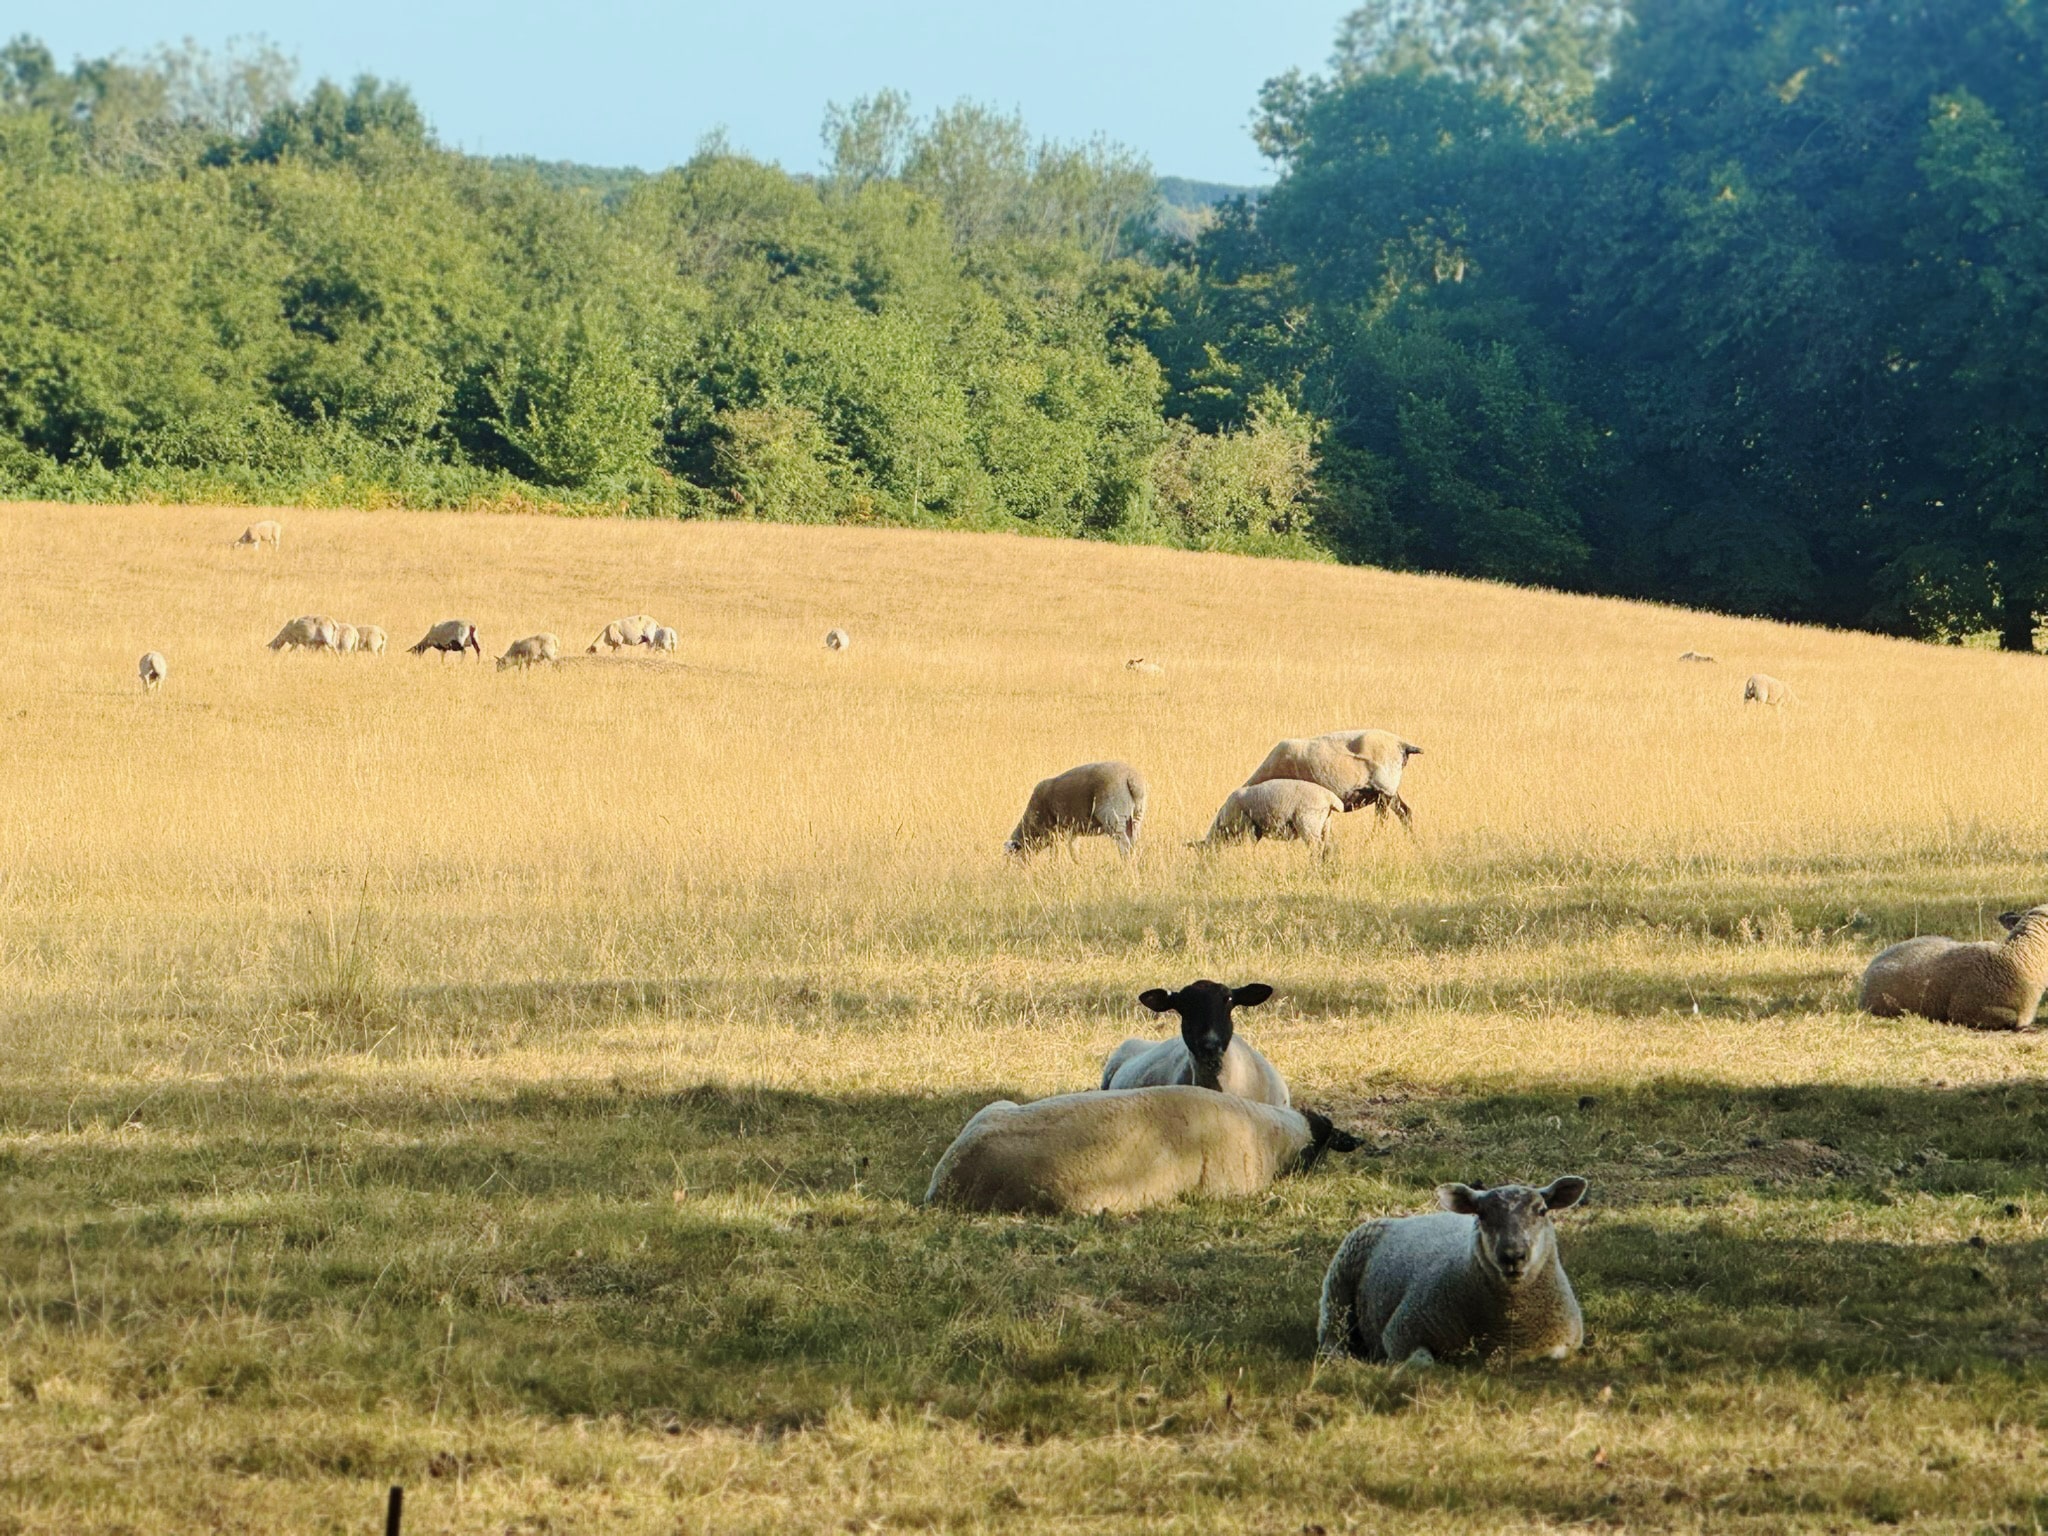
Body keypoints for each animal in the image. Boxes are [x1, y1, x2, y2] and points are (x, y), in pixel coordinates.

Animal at [1005, 760, 1148, 857]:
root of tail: (1131, 778)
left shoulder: (1052, 833)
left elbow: (1055, 854)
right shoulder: (1072, 831)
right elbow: (1073, 850)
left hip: (1113, 816)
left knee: (1124, 844)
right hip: (1135, 817)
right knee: (1133, 842)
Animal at [1201, 779, 1347, 851]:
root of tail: (1330, 798)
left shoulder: (1247, 827)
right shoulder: (1256, 831)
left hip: (1308, 824)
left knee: (1316, 847)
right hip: (1324, 825)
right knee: (1325, 846)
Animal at [1317, 1176, 1589, 1367]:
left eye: (1542, 1211)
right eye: (1482, 1214)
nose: (1512, 1255)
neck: (1507, 1329)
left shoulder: (1562, 1345)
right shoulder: (1400, 1334)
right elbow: (1424, 1364)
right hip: (1338, 1282)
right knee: (1331, 1333)